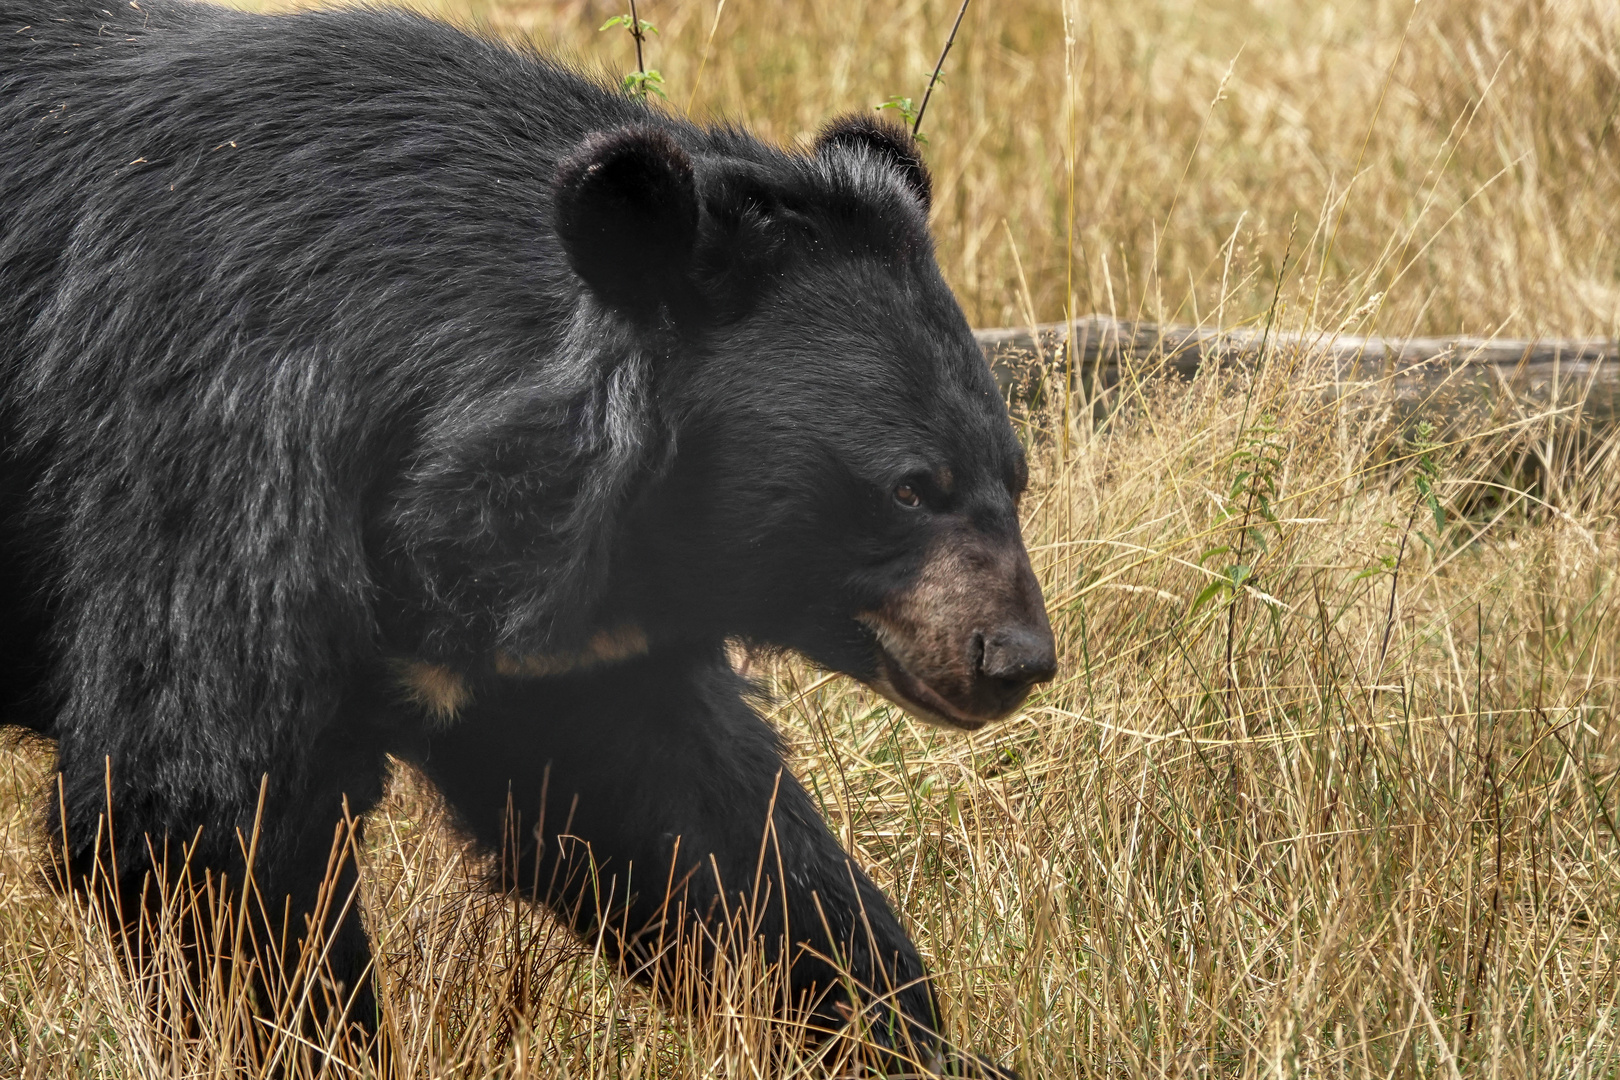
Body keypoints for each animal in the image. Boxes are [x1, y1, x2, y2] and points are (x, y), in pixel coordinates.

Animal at [0, 0, 1056, 1075]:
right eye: (909, 489)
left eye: (1013, 478)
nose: (1014, 659)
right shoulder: (223, 460)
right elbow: (198, 805)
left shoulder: (564, 653)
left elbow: (698, 836)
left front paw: (893, 1032)